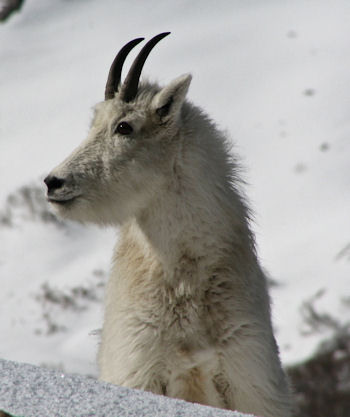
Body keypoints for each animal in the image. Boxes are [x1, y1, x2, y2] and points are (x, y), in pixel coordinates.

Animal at [45, 33, 294, 416]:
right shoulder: (139, 369)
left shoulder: (248, 379)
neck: (183, 281)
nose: (53, 182)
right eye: (94, 124)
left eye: (124, 126)